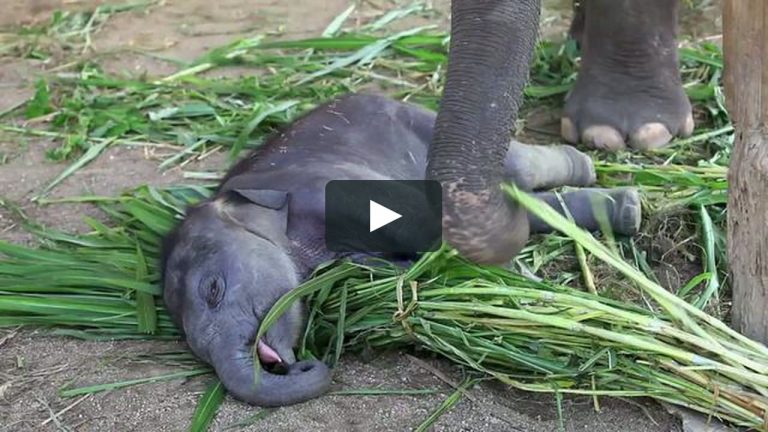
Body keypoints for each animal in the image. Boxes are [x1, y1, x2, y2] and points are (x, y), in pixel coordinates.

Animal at [161, 93, 642, 406]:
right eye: (192, 346)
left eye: (213, 289)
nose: (299, 364)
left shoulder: (330, 187)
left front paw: (519, 284)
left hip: (426, 123)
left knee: (520, 170)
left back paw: (600, 177)